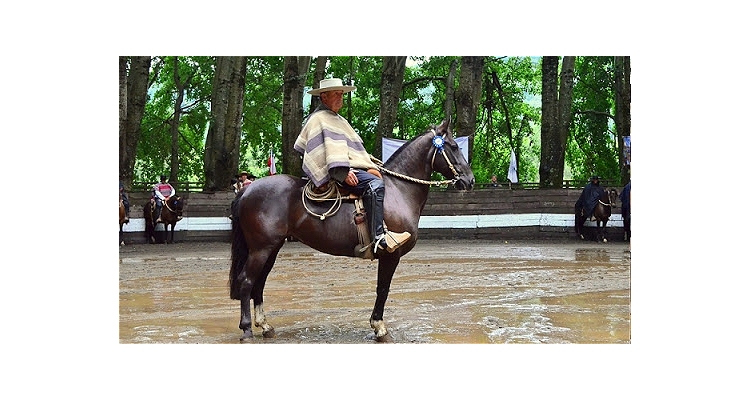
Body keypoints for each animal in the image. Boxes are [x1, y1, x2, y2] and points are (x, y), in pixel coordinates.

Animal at [229, 119, 476, 344]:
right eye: (454, 146)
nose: (470, 180)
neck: (398, 191)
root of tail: (247, 191)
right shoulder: (390, 255)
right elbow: (383, 289)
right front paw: (380, 328)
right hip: (261, 249)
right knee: (247, 281)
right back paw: (247, 329)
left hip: (271, 248)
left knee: (259, 283)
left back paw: (265, 326)